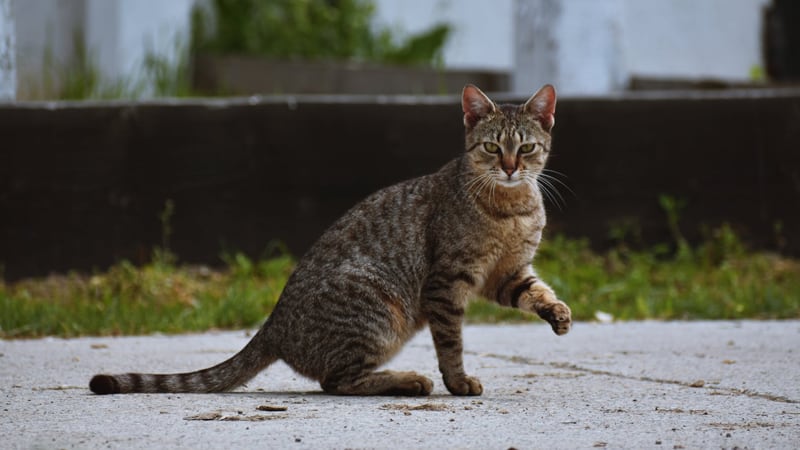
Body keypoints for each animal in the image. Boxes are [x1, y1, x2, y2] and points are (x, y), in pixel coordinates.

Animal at [90, 84, 572, 398]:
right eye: (492, 148)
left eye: (526, 148)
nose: (509, 167)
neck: (512, 208)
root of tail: (274, 324)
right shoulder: (448, 281)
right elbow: (451, 343)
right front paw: (457, 382)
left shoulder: (505, 273)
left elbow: (535, 292)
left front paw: (557, 312)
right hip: (380, 310)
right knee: (337, 382)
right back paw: (408, 381)